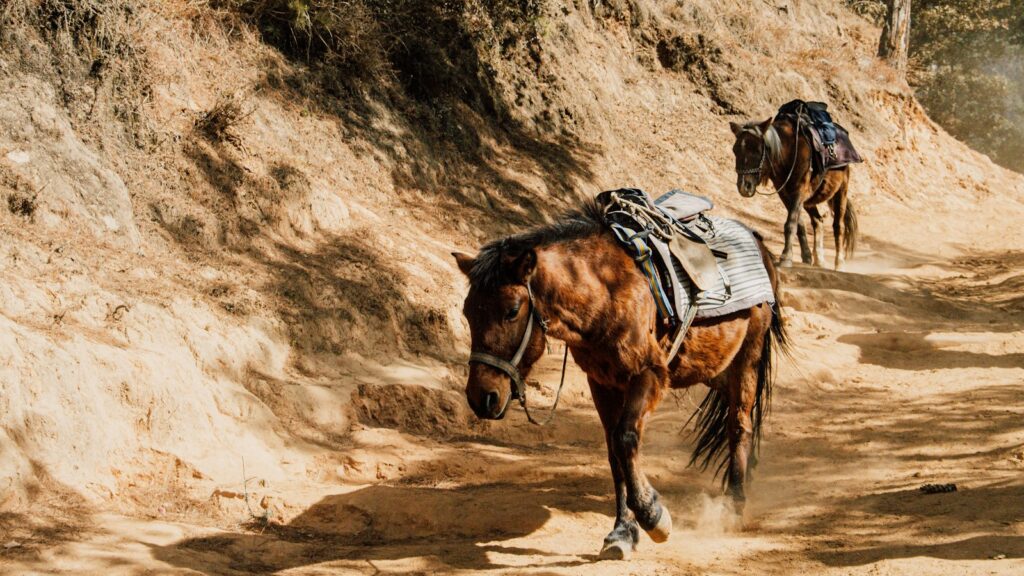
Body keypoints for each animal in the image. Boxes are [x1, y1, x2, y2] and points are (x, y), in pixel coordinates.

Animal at [452, 200, 787, 560]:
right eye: (468, 311)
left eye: (512, 310)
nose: (482, 397)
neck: (605, 293)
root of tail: (759, 243)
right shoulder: (602, 383)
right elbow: (615, 452)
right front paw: (623, 532)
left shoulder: (649, 374)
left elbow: (626, 438)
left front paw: (653, 516)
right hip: (716, 367)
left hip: (747, 359)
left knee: (739, 424)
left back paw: (734, 505)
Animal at [730, 116, 858, 270]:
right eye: (735, 150)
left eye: (757, 149)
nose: (744, 186)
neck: (789, 152)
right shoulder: (785, 195)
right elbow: (799, 224)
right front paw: (806, 256)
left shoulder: (799, 191)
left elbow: (790, 223)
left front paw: (785, 258)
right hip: (810, 201)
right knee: (817, 221)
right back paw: (819, 259)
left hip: (841, 191)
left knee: (838, 226)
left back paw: (839, 263)